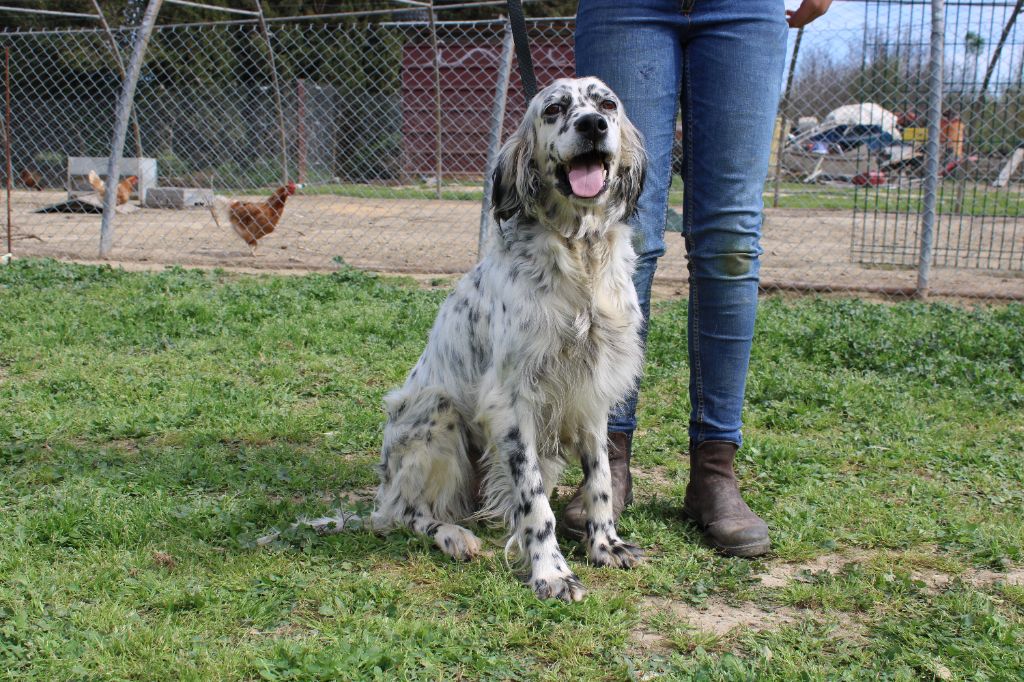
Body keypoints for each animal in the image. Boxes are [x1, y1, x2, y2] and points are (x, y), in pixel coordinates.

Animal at [372, 76, 647, 602]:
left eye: (607, 104)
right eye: (554, 109)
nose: (593, 125)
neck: (578, 252)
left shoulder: (592, 392)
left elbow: (600, 477)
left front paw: (606, 544)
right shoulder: (512, 400)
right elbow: (535, 502)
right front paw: (552, 573)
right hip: (435, 413)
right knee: (401, 513)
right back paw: (453, 536)